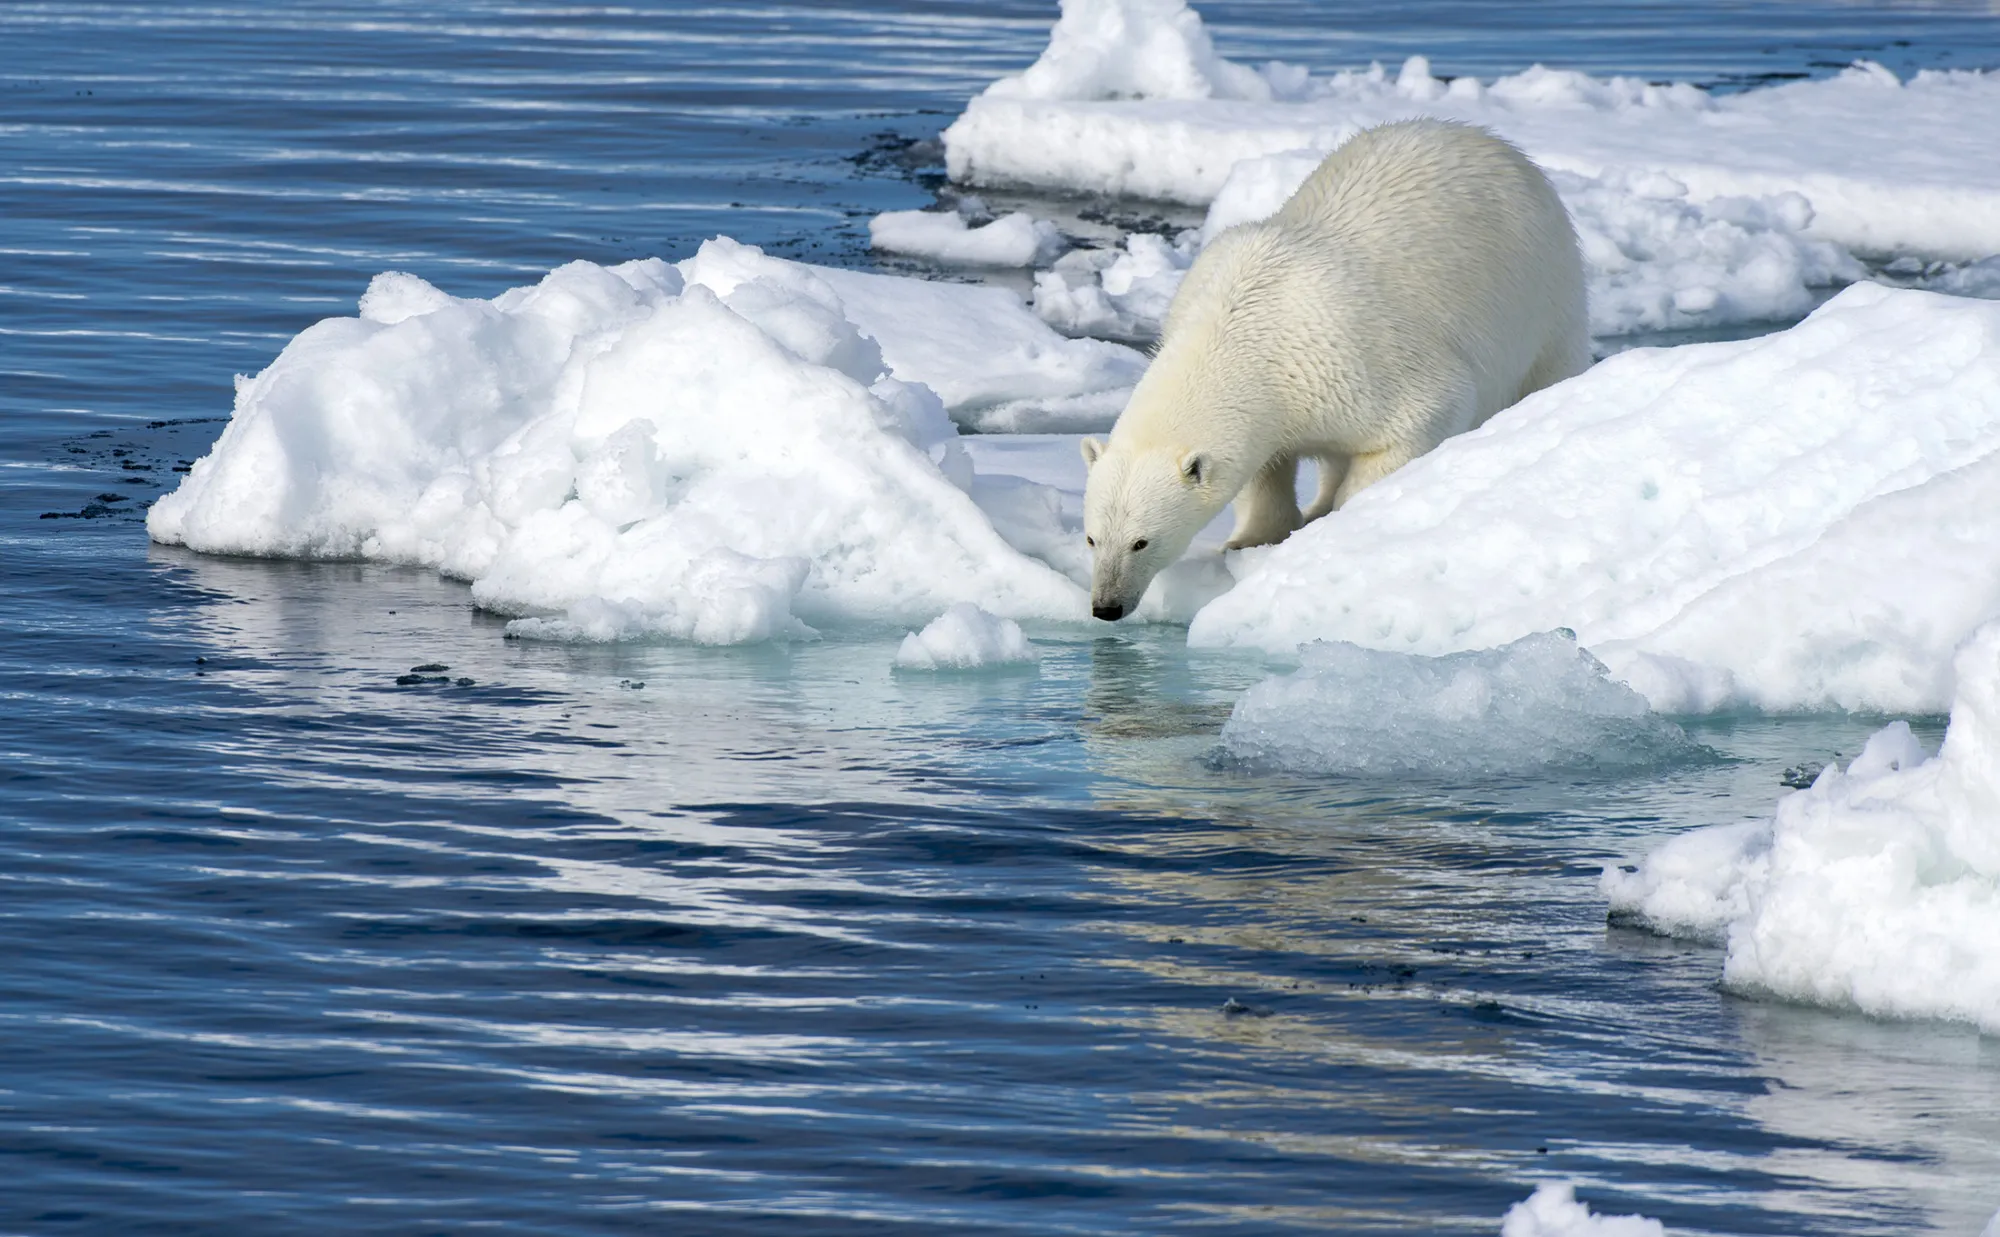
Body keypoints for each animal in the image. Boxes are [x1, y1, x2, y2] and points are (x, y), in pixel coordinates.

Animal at [1079, 118, 1590, 621]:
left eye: (1142, 541)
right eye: (1091, 538)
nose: (1107, 607)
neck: (1241, 327)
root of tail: (1492, 141)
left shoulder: (1353, 357)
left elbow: (1421, 417)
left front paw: (1340, 525)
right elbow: (1262, 469)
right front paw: (1250, 540)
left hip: (1543, 289)